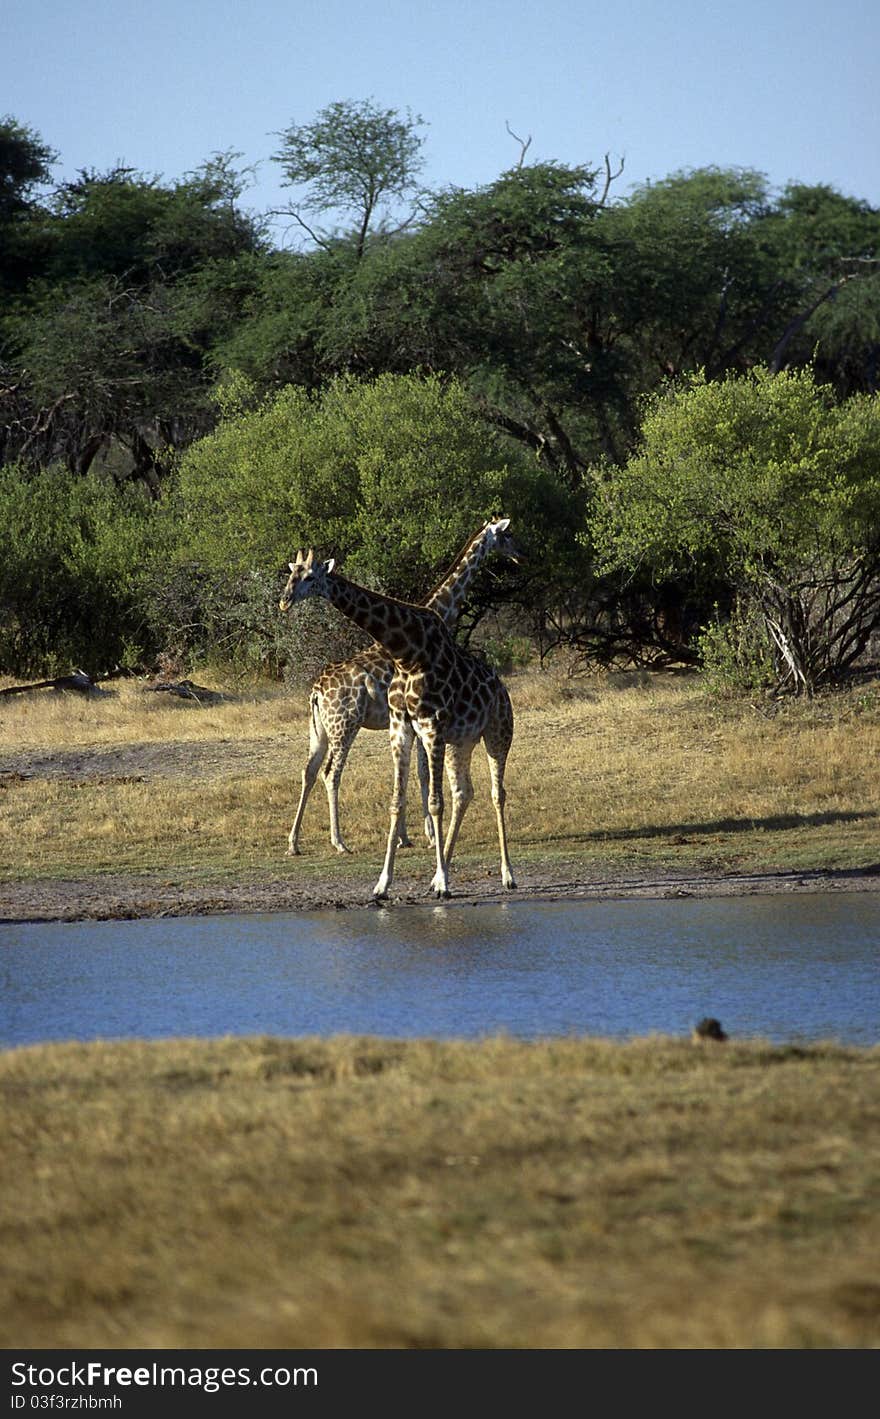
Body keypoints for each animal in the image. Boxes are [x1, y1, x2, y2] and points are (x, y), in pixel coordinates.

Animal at [279, 550, 516, 896]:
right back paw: (334, 843)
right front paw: (387, 879)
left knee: (494, 794)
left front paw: (430, 864)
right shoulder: (406, 728)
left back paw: (506, 874)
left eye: (310, 576)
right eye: (291, 575)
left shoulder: (429, 727)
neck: (409, 651)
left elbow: (430, 796)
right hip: (357, 729)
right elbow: (404, 796)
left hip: (495, 734)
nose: (284, 601)